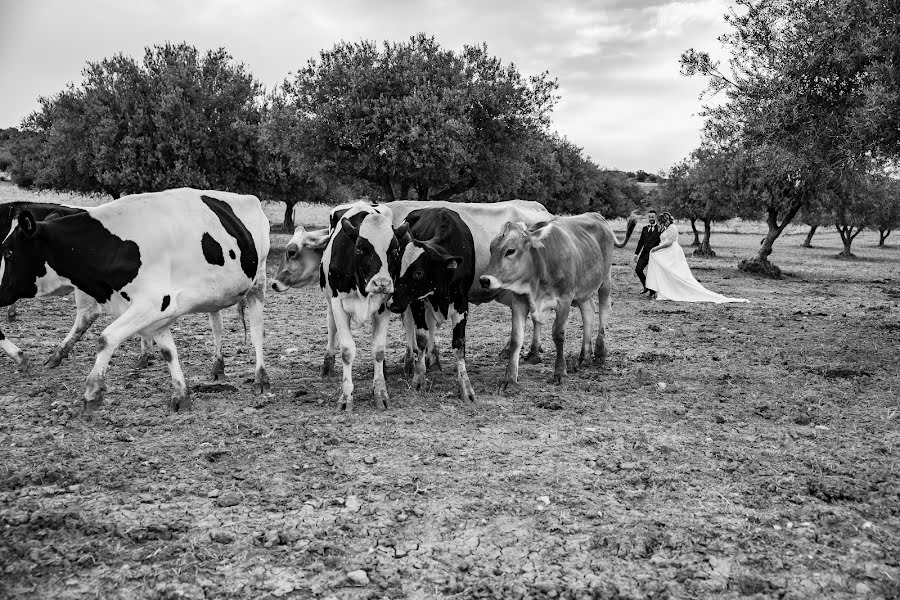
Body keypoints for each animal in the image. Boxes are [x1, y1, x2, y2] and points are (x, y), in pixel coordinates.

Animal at [0, 188, 268, 412]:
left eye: (9, 252)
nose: (0, 292)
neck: (112, 245)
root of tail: (249, 198)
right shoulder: (157, 314)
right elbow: (168, 352)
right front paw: (181, 395)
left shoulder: (153, 303)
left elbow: (106, 338)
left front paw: (92, 393)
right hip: (217, 292)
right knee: (217, 325)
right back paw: (217, 366)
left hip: (257, 284)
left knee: (256, 331)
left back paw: (261, 377)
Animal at [318, 202, 400, 412]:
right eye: (361, 248)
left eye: (394, 250)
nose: (382, 283)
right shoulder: (338, 304)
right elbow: (347, 351)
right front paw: (346, 397)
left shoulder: (384, 306)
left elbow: (378, 349)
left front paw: (380, 392)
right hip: (329, 301)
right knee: (331, 327)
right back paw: (327, 363)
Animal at [384, 207, 478, 404]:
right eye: (395, 268)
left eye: (419, 273)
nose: (391, 304)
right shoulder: (417, 302)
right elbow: (421, 338)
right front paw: (419, 380)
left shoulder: (461, 304)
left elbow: (459, 345)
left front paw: (466, 388)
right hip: (410, 305)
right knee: (410, 327)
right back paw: (410, 360)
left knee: (432, 327)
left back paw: (433, 358)